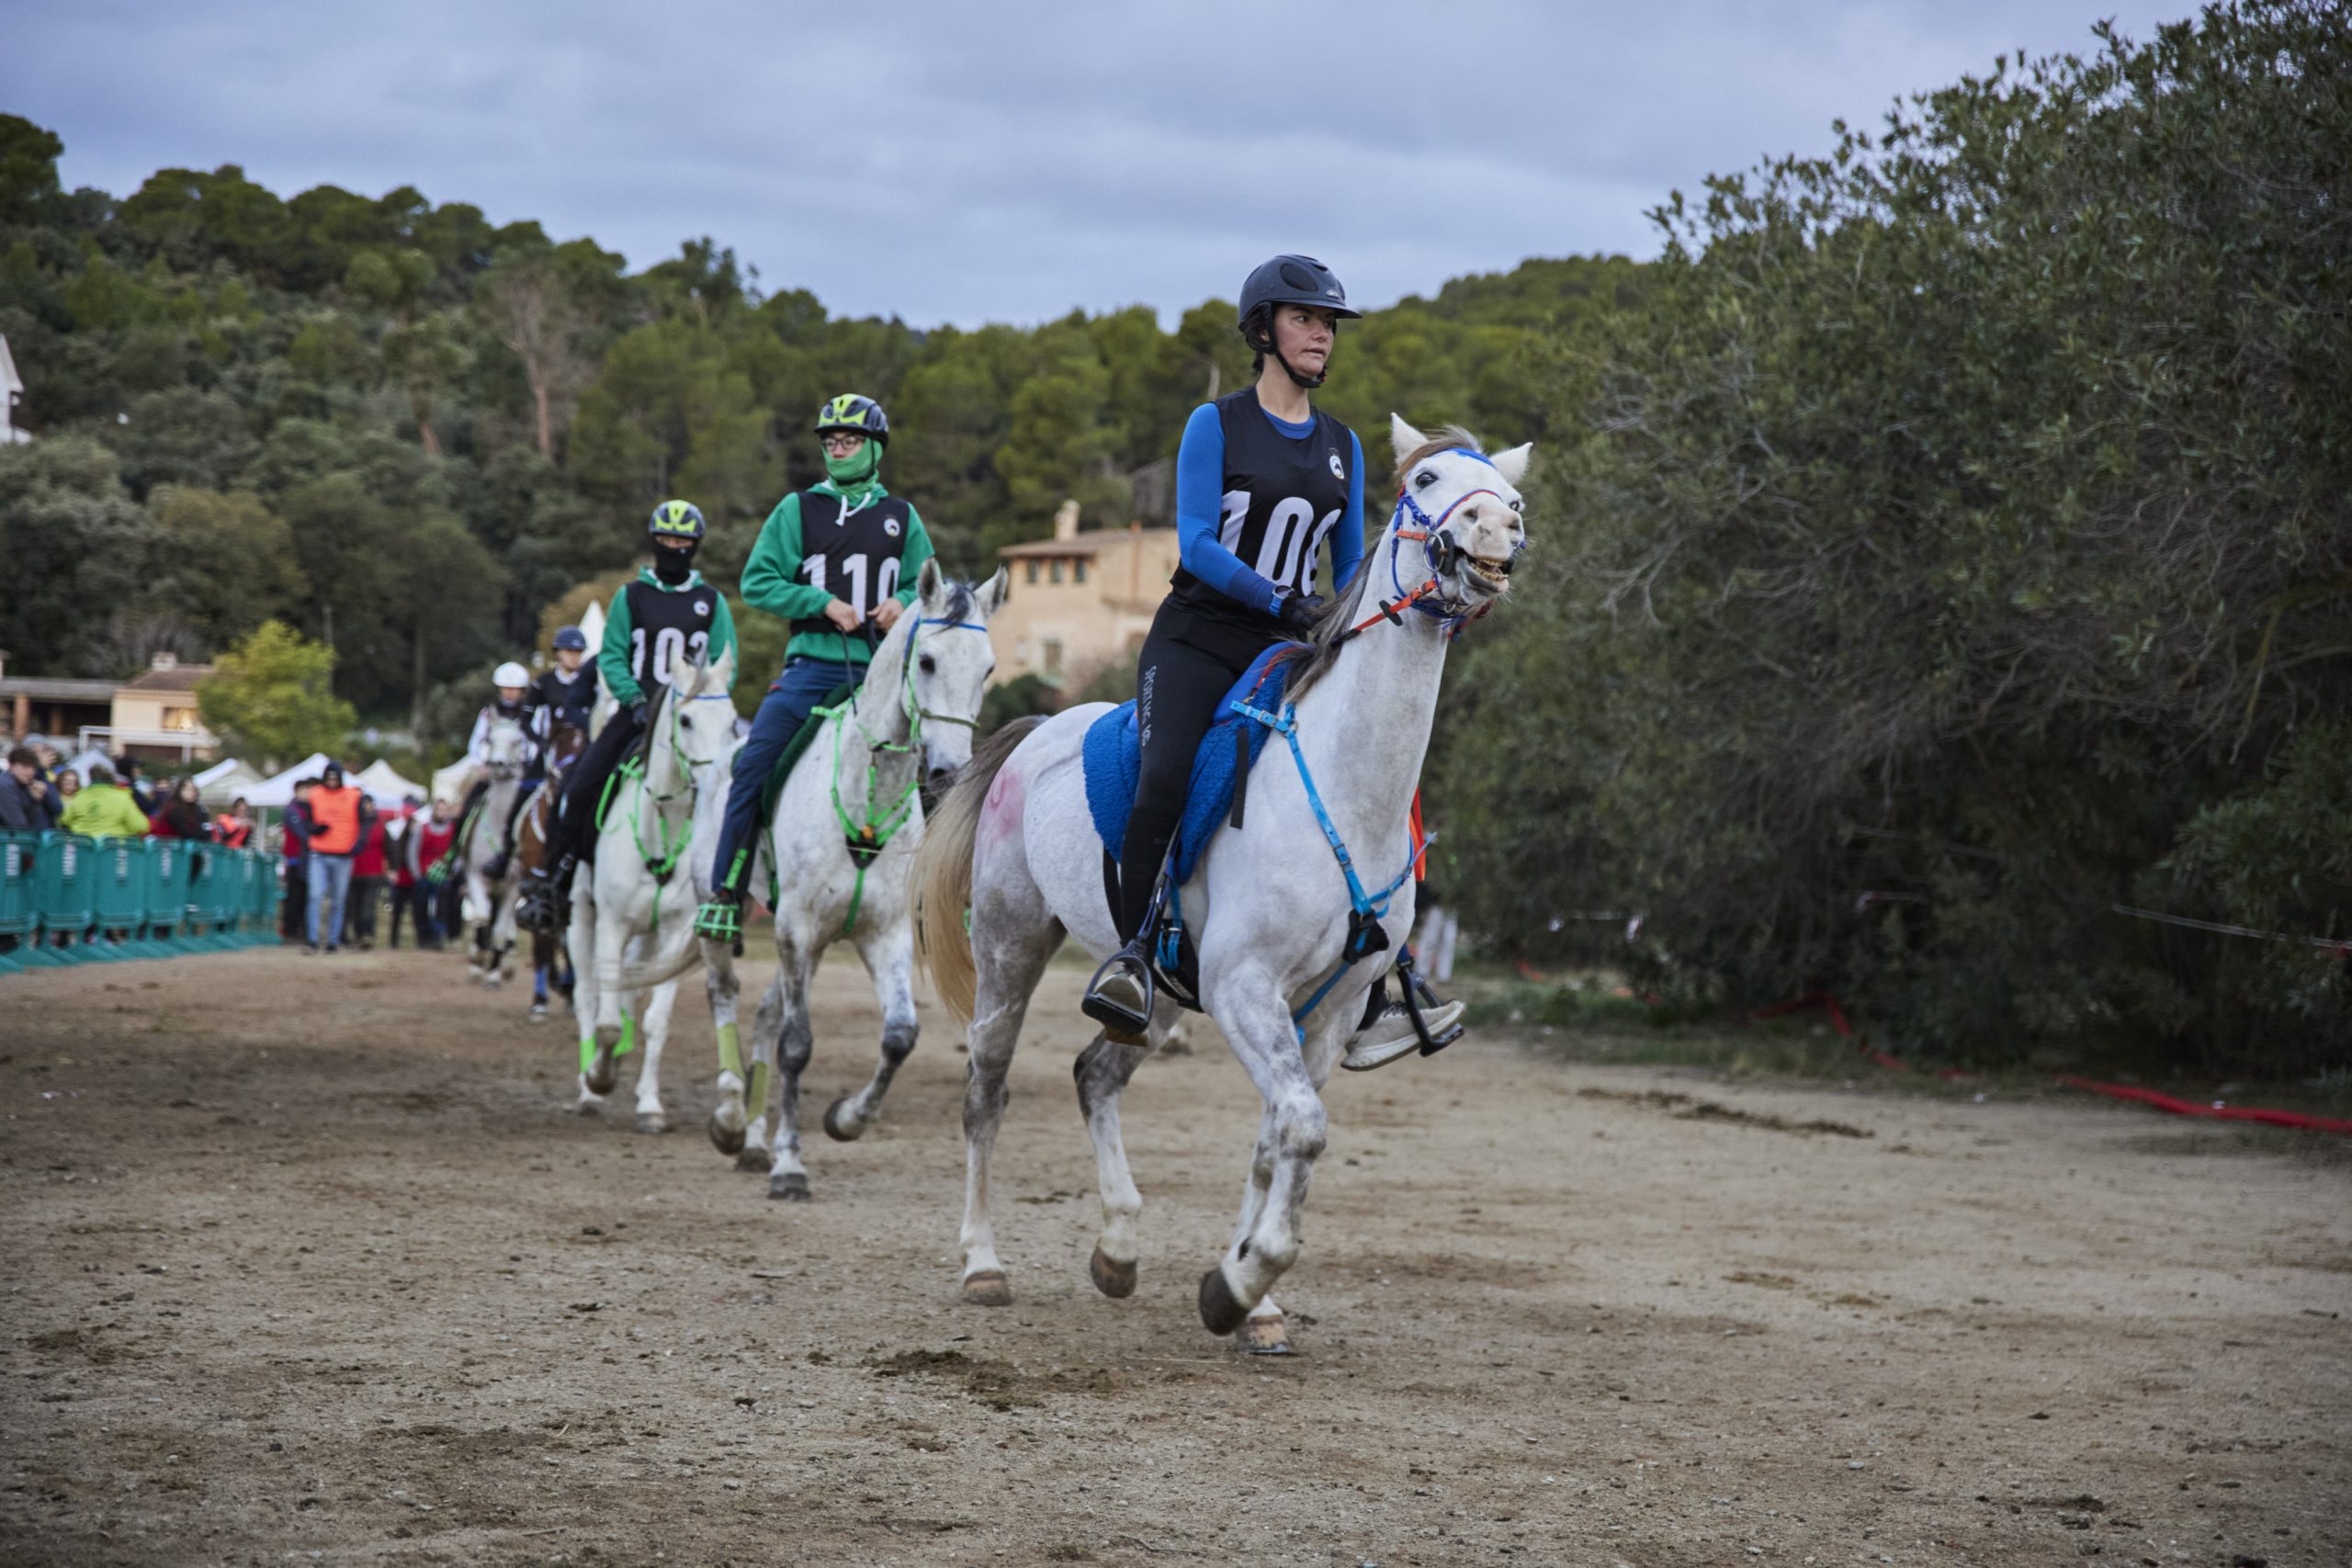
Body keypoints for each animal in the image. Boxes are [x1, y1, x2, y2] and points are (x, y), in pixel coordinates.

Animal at [566, 644, 738, 1133]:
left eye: (733, 721)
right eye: (686, 720)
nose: (720, 781)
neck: (664, 829)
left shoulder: (676, 932)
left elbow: (655, 1020)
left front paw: (649, 1105)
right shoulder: (610, 924)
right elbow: (604, 1019)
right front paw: (599, 1079)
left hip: (646, 936)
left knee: (628, 995)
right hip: (580, 920)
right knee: (588, 997)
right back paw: (589, 1087)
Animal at [611, 564, 1006, 1203]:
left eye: (988, 668)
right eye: (926, 661)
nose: (949, 772)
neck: (866, 793)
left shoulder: (883, 934)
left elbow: (899, 1035)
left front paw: (845, 1120)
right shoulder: (796, 928)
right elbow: (798, 1047)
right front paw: (790, 1165)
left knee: (767, 1014)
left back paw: (752, 1140)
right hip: (724, 917)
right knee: (725, 994)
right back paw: (730, 1119)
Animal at [908, 415, 1533, 1354]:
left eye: (1514, 492)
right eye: (1425, 481)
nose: (1497, 529)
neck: (1349, 784)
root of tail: (1035, 730)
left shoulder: (1329, 1006)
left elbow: (1281, 1135)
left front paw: (1256, 1302)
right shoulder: (1246, 987)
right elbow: (1301, 1125)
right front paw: (1237, 1284)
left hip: (1161, 993)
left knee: (1095, 1072)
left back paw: (1119, 1250)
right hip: (1012, 950)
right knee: (987, 1088)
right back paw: (983, 1263)